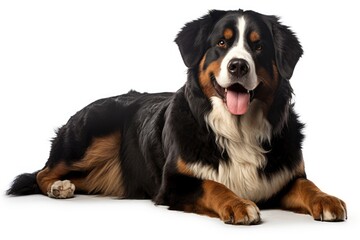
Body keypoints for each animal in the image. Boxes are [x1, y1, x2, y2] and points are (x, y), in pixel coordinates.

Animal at [7, 8, 346, 224]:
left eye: (258, 45)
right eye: (221, 43)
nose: (238, 65)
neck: (238, 129)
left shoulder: (284, 177)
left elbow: (307, 185)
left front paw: (327, 199)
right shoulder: (173, 183)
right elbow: (213, 185)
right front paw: (238, 203)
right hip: (90, 134)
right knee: (42, 173)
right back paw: (59, 187)